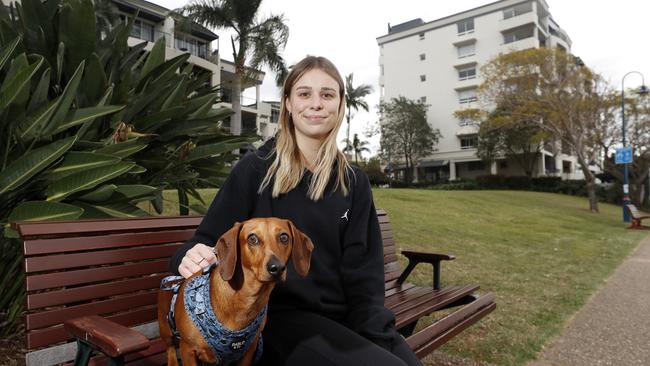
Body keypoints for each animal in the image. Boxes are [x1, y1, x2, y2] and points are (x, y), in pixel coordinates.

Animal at [154, 219, 312, 364]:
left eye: (284, 237)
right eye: (252, 238)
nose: (277, 268)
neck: (244, 302)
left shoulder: (248, 351)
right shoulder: (188, 350)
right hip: (165, 329)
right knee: (170, 348)